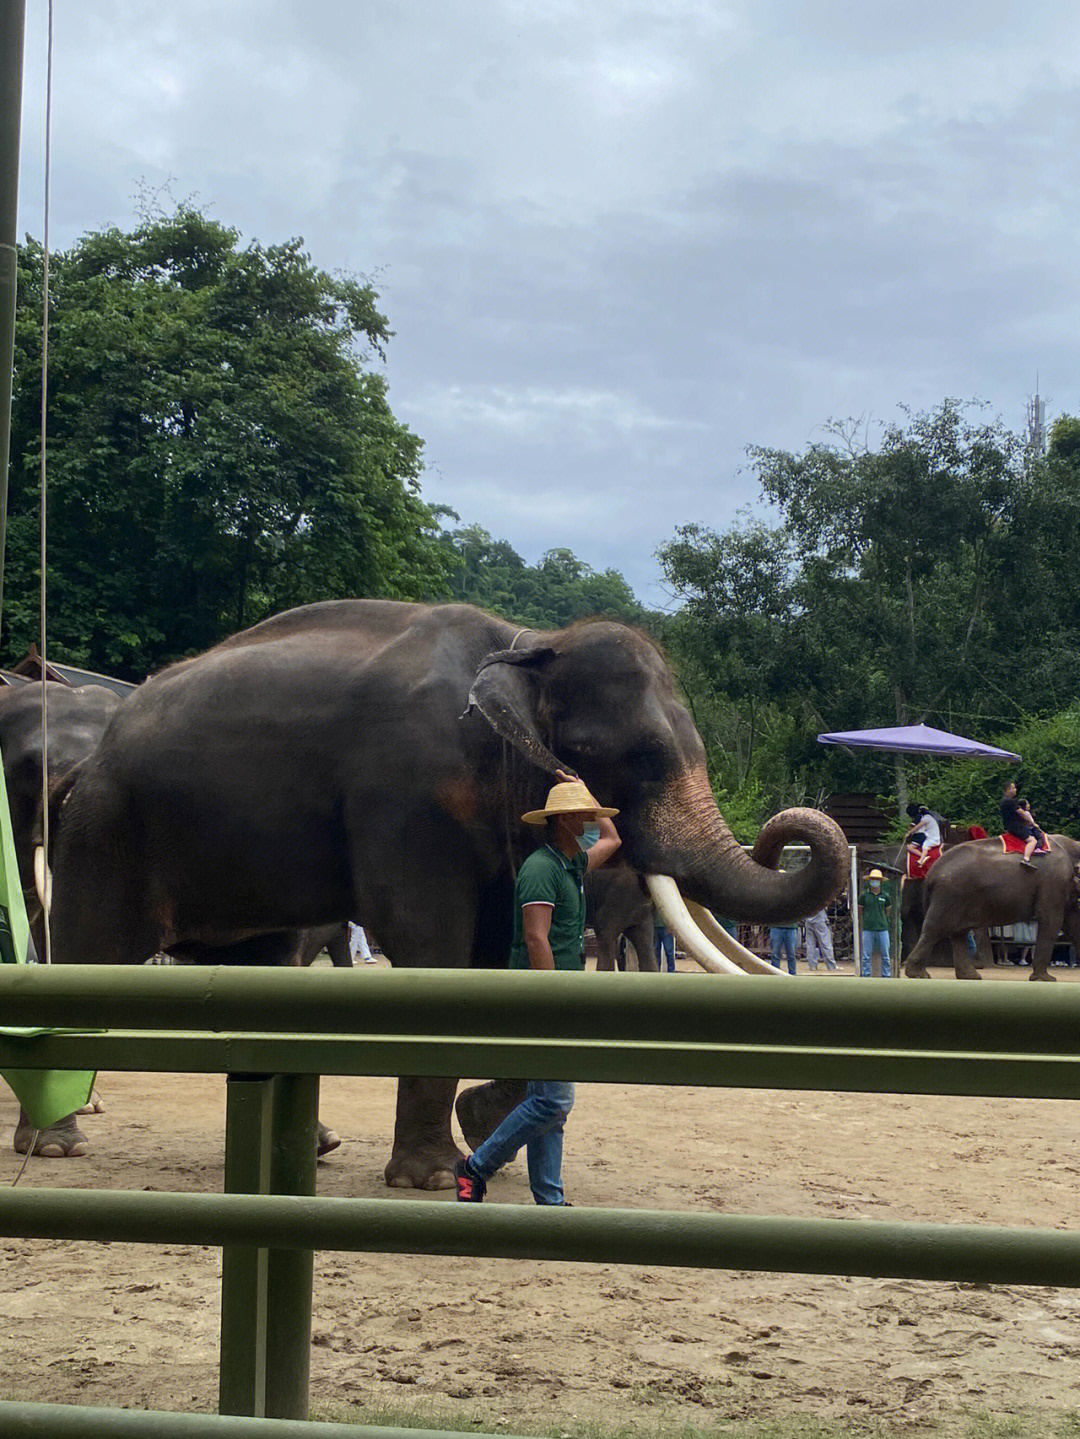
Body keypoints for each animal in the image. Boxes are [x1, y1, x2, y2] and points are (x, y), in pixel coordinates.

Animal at [903, 840, 1080, 984]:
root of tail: (932, 872)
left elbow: (1072, 922)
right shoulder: (1054, 881)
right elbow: (1052, 920)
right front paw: (1046, 979)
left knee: (958, 932)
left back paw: (970, 976)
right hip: (949, 894)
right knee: (935, 929)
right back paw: (918, 974)